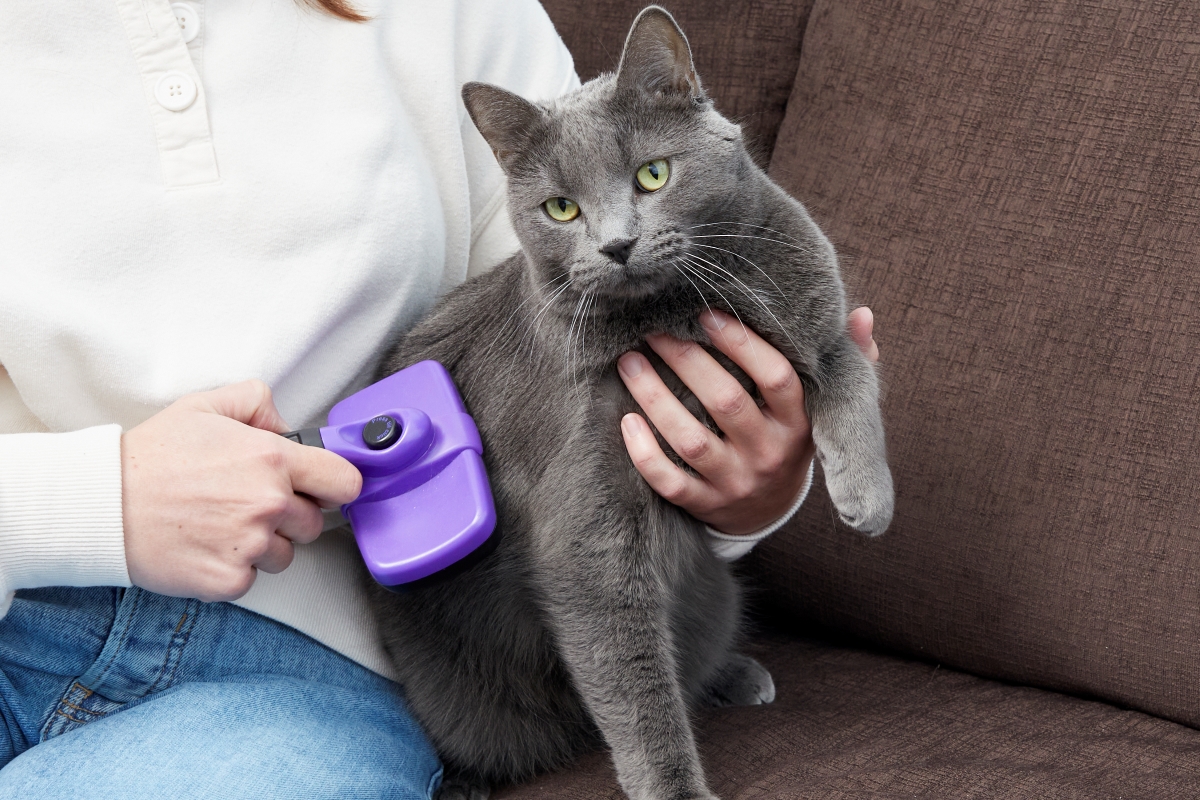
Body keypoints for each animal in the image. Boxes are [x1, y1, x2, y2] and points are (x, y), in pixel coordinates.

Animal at [364, 7, 892, 800]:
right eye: (561, 208)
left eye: (653, 174)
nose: (616, 245)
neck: (680, 308)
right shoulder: (587, 522)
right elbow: (635, 684)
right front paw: (675, 790)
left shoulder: (818, 312)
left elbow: (852, 369)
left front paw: (869, 499)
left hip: (715, 593)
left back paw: (739, 675)